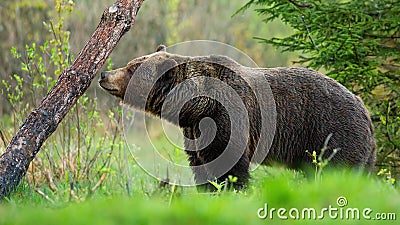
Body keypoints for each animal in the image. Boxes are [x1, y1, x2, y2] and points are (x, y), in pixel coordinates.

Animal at [98, 44, 376, 191]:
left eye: (132, 68)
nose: (104, 74)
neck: (197, 105)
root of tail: (365, 109)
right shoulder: (195, 130)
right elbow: (200, 164)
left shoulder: (229, 118)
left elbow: (230, 165)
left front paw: (232, 189)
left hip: (332, 132)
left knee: (339, 171)